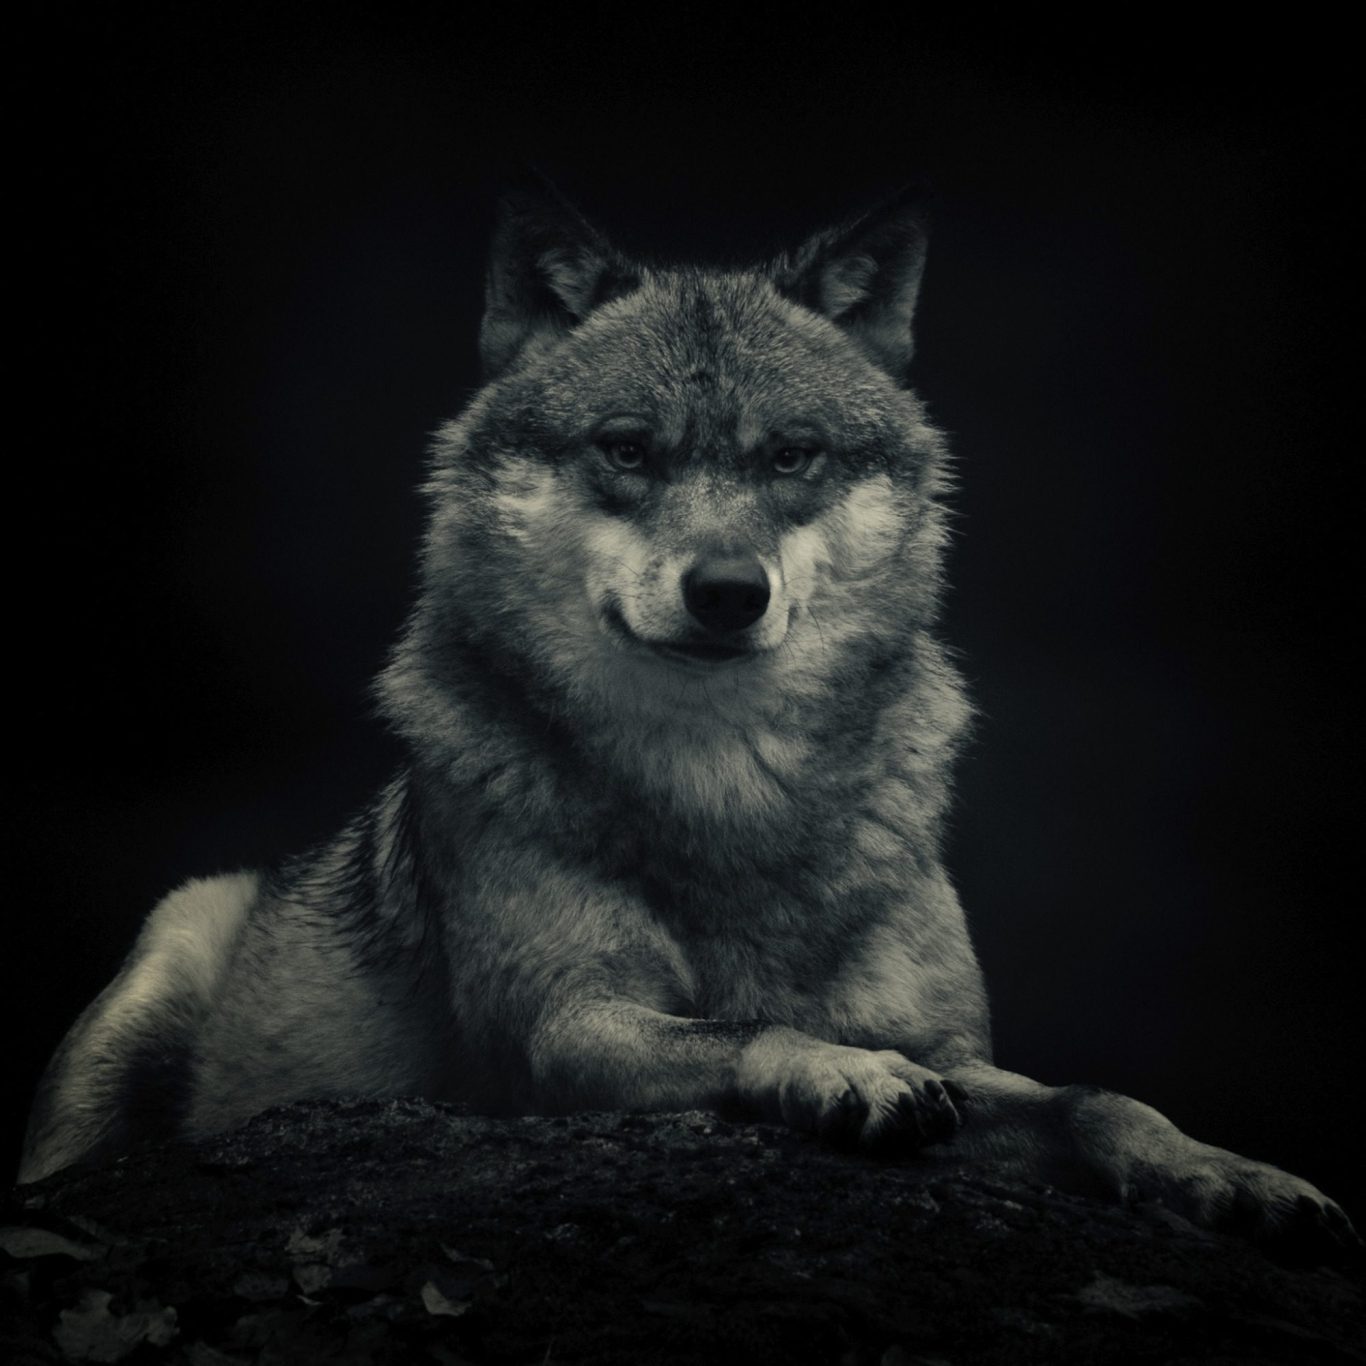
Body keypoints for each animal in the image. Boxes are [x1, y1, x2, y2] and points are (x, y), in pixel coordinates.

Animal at [20, 188, 1356, 1256]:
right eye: (627, 450)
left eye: (791, 457)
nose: (726, 591)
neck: (728, 787)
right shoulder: (563, 1030)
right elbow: (746, 1025)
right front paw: (846, 1071)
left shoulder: (965, 1055)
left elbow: (1098, 1100)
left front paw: (1235, 1175)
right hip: (166, 947)